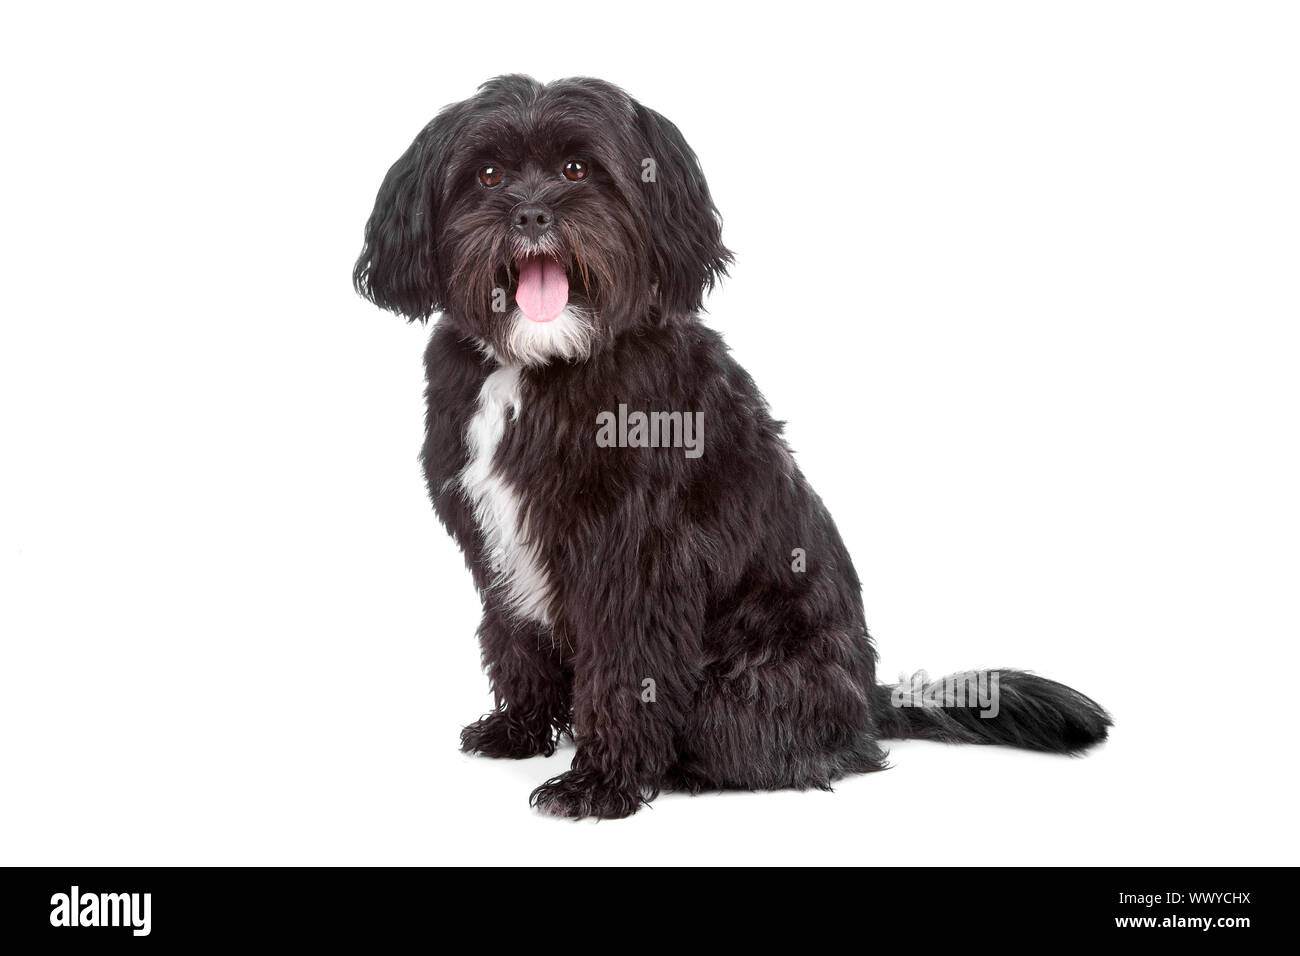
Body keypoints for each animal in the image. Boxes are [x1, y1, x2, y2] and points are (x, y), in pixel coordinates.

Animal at [353, 76, 1107, 822]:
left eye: (577, 169)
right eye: (487, 175)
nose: (533, 216)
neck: (544, 363)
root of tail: (869, 700)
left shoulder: (638, 560)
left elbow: (626, 672)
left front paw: (601, 782)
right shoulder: (495, 549)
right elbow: (515, 641)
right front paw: (520, 729)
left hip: (749, 683)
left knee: (786, 746)